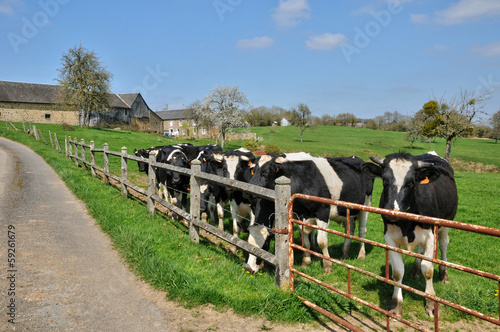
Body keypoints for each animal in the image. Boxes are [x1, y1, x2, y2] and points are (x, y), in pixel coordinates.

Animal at [244, 152, 374, 274]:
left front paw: (327, 266)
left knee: (362, 230)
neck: (301, 180)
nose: (249, 268)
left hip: (365, 205)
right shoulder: (299, 215)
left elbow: (322, 242)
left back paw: (361, 255)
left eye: (265, 172)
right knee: (349, 229)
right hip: (348, 210)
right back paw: (344, 253)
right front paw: (305, 263)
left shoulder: (323, 212)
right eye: (252, 171)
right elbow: (305, 242)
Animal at [364, 152, 458, 318]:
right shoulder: (389, 237)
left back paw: (444, 275)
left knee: (443, 245)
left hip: (445, 225)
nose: (392, 212)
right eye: (384, 179)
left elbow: (428, 269)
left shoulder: (430, 236)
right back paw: (415, 271)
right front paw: (396, 305)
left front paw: (430, 303)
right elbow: (397, 272)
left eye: (412, 182)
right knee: (419, 251)